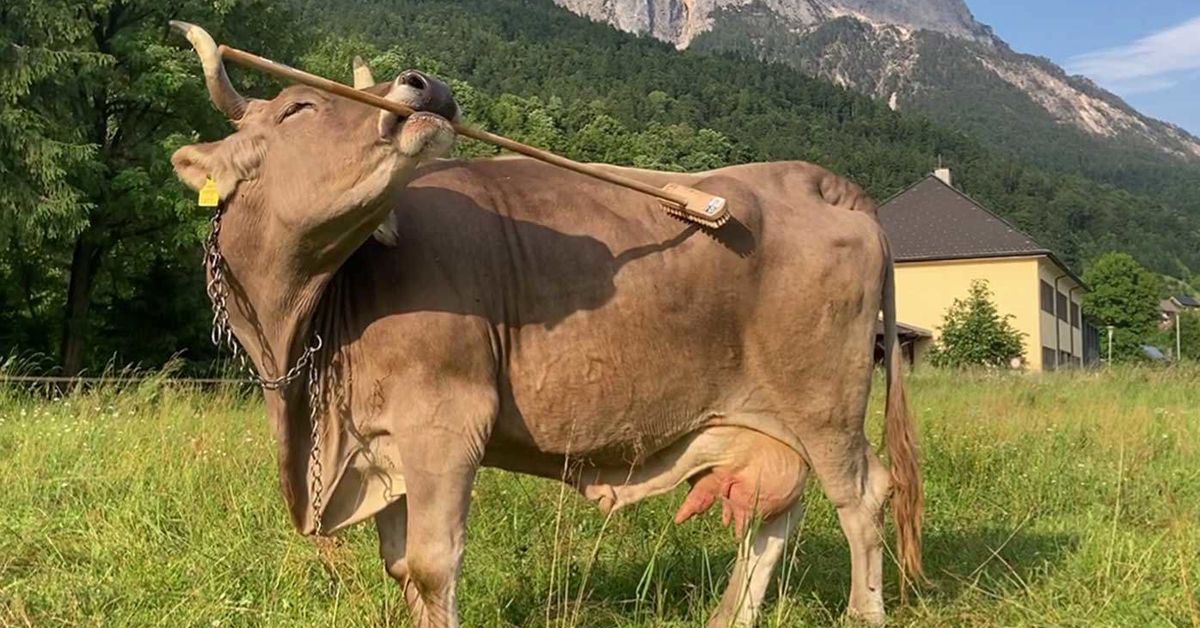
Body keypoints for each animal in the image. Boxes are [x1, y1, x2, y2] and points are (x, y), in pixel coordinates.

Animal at [170, 22, 922, 628]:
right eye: (297, 107)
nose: (425, 84)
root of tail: (812, 179)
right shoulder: (378, 442)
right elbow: (400, 567)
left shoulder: (445, 422)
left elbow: (432, 566)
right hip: (773, 415)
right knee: (778, 508)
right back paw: (730, 616)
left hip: (824, 402)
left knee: (861, 496)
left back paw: (862, 614)